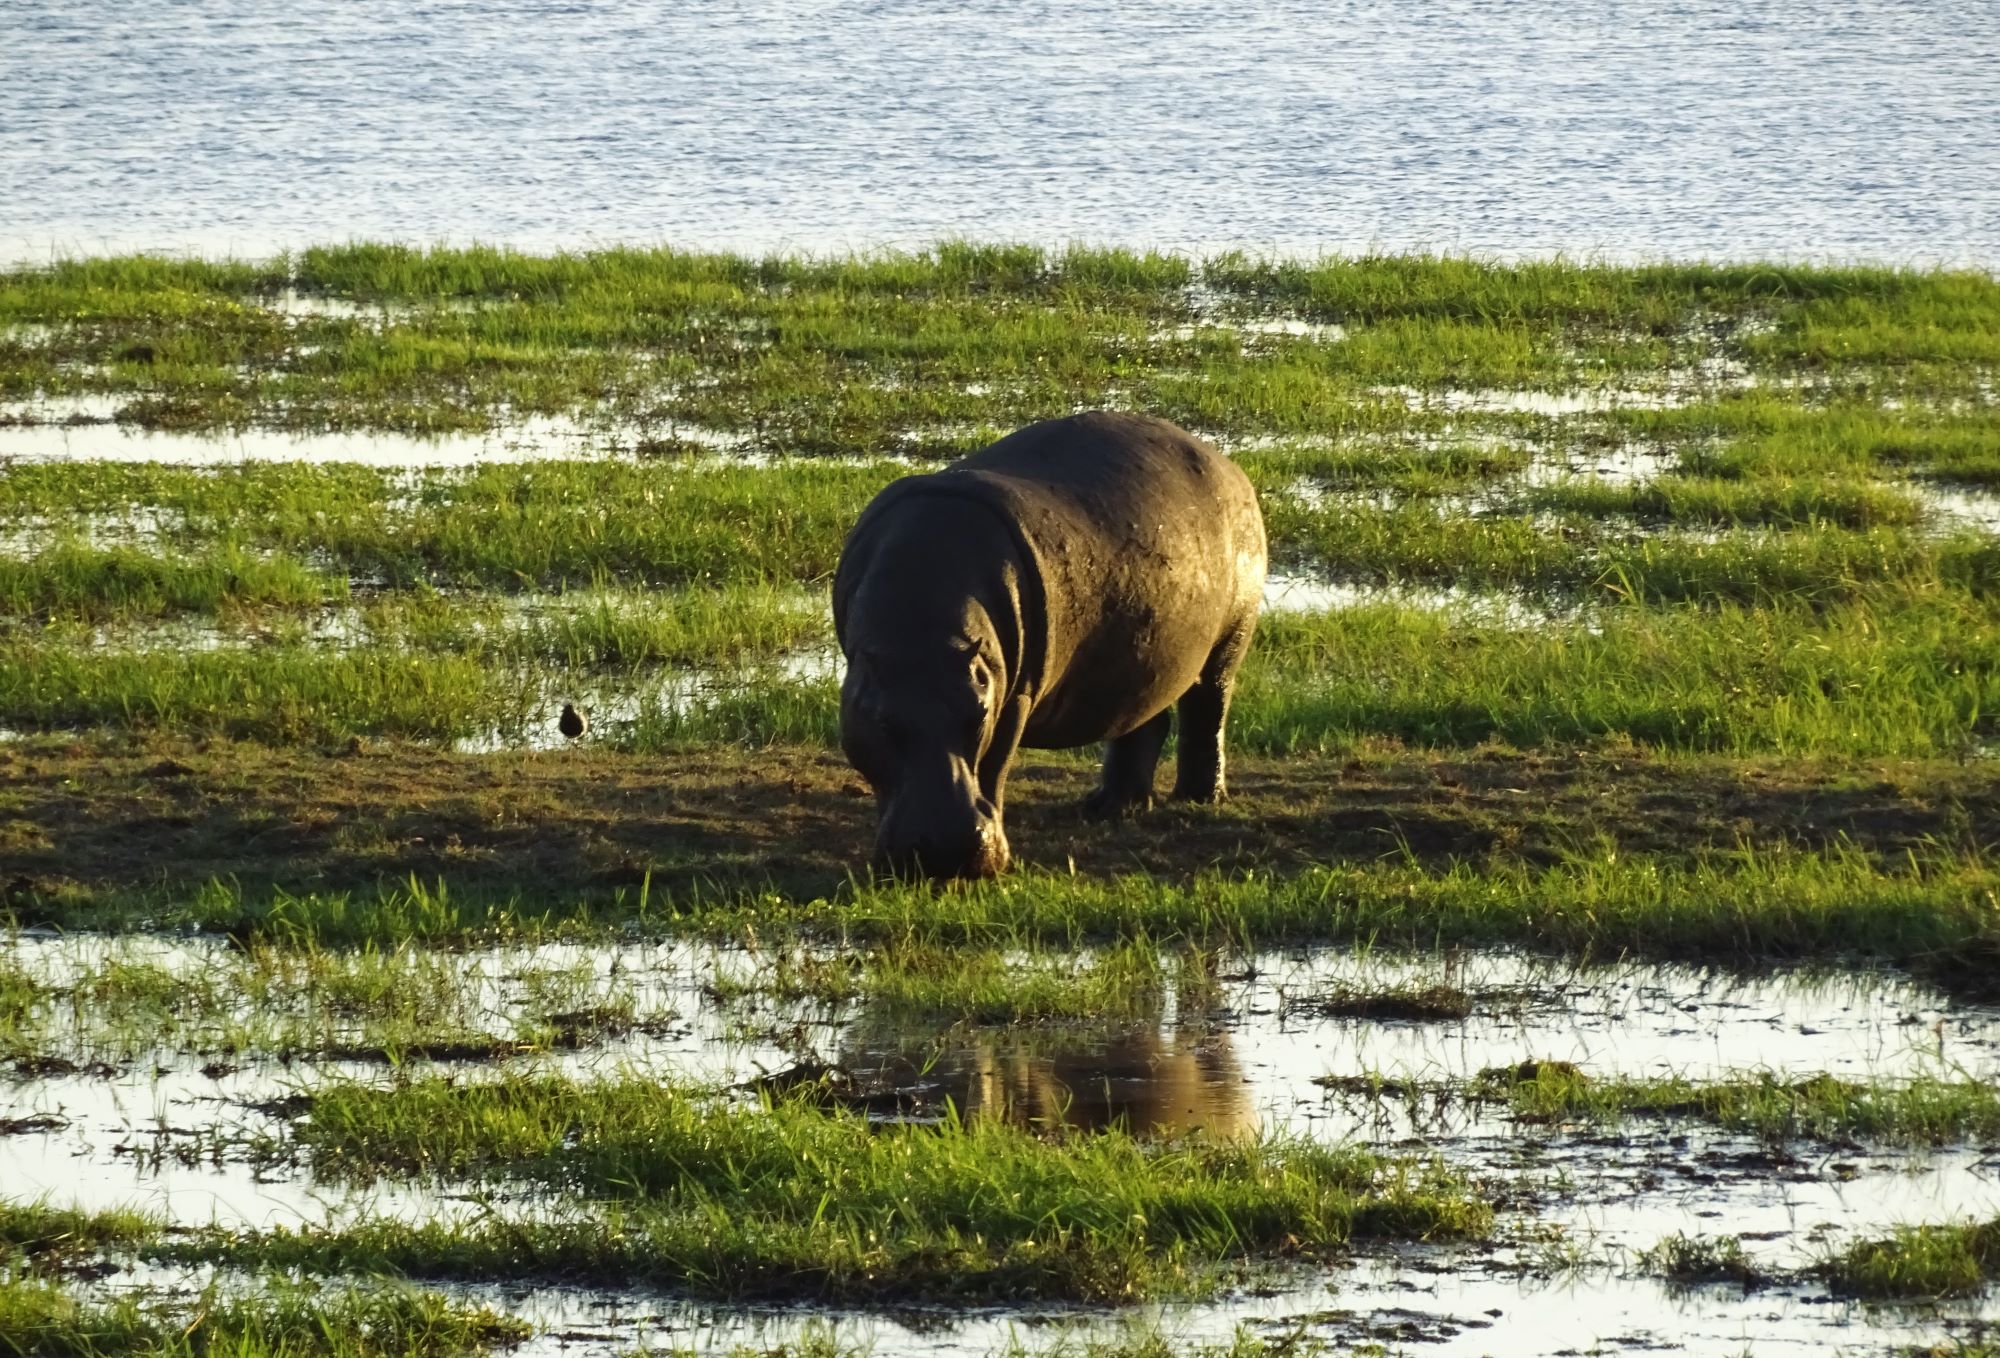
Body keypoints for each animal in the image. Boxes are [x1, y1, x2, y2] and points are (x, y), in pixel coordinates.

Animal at [828, 412, 1264, 880]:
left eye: (978, 716)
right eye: (882, 721)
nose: (947, 853)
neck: (924, 619)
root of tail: (1228, 465)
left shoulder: (1011, 698)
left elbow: (994, 765)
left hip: (1228, 642)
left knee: (1207, 711)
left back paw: (1200, 798)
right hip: (1142, 661)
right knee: (1143, 723)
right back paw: (1108, 807)